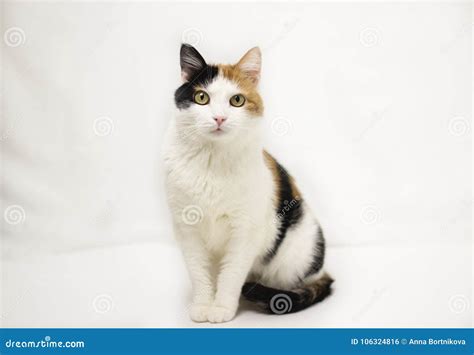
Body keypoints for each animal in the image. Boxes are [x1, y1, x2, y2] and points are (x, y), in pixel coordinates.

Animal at [163, 43, 334, 324]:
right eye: (202, 98)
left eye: (237, 100)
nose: (219, 118)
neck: (211, 160)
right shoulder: (187, 229)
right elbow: (199, 272)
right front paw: (202, 305)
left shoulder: (245, 232)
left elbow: (232, 274)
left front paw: (221, 308)